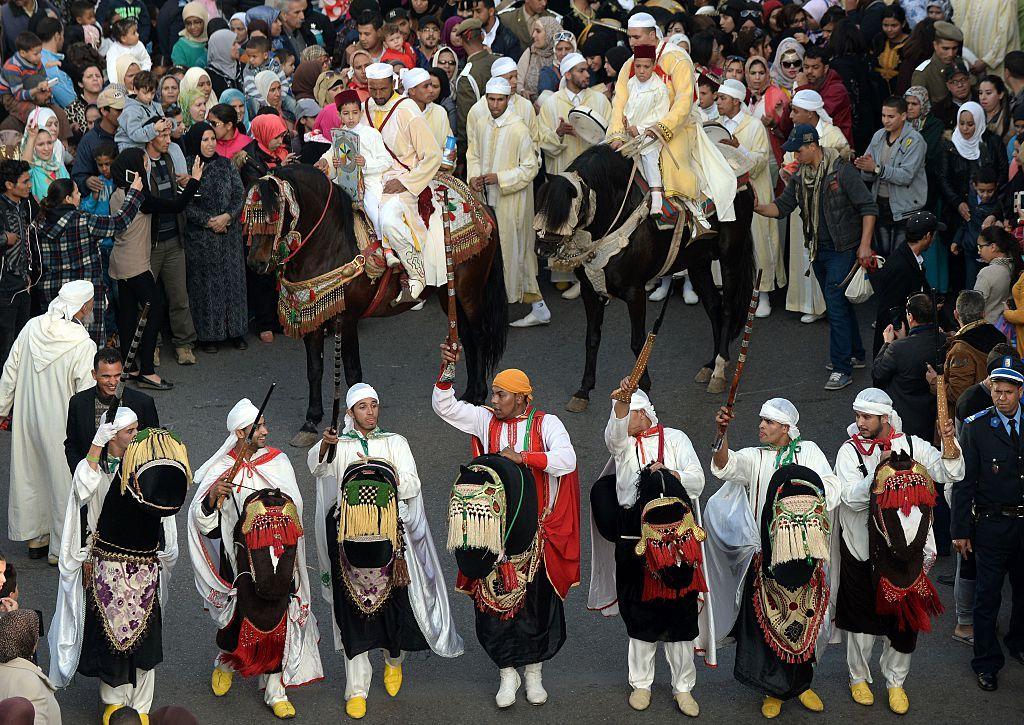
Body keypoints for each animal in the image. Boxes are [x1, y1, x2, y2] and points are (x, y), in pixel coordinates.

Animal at [243, 165, 507, 446]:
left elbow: (352, 372)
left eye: (272, 215)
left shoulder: (347, 319)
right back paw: (467, 394)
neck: (330, 242)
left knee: (479, 336)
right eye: (248, 216)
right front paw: (311, 421)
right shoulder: (311, 317)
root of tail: (481, 206)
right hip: (449, 295)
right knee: (465, 336)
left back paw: (478, 394)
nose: (255, 263)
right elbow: (314, 369)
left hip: (469, 291)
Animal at [536, 144, 753, 411]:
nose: (543, 249)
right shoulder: (590, 290)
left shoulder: (635, 291)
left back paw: (720, 369)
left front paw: (642, 384)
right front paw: (583, 390)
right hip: (698, 263)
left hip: (730, 255)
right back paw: (710, 365)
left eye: (563, 210)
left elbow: (638, 341)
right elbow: (592, 339)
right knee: (714, 306)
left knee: (728, 308)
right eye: (541, 205)